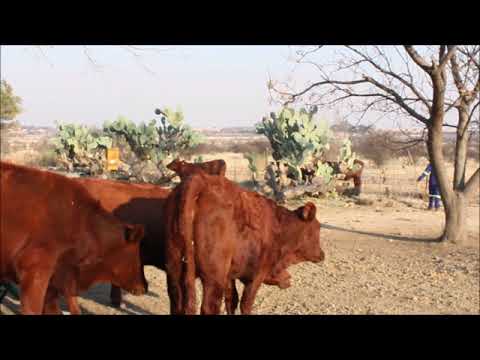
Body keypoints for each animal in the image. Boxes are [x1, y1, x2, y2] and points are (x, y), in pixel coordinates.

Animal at [163, 172, 324, 316]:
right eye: (316, 228)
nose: (322, 254)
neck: (278, 226)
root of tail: (199, 180)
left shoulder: (229, 277)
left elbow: (231, 301)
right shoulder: (255, 276)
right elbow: (246, 304)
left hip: (175, 272)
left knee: (177, 304)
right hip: (212, 279)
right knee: (209, 307)